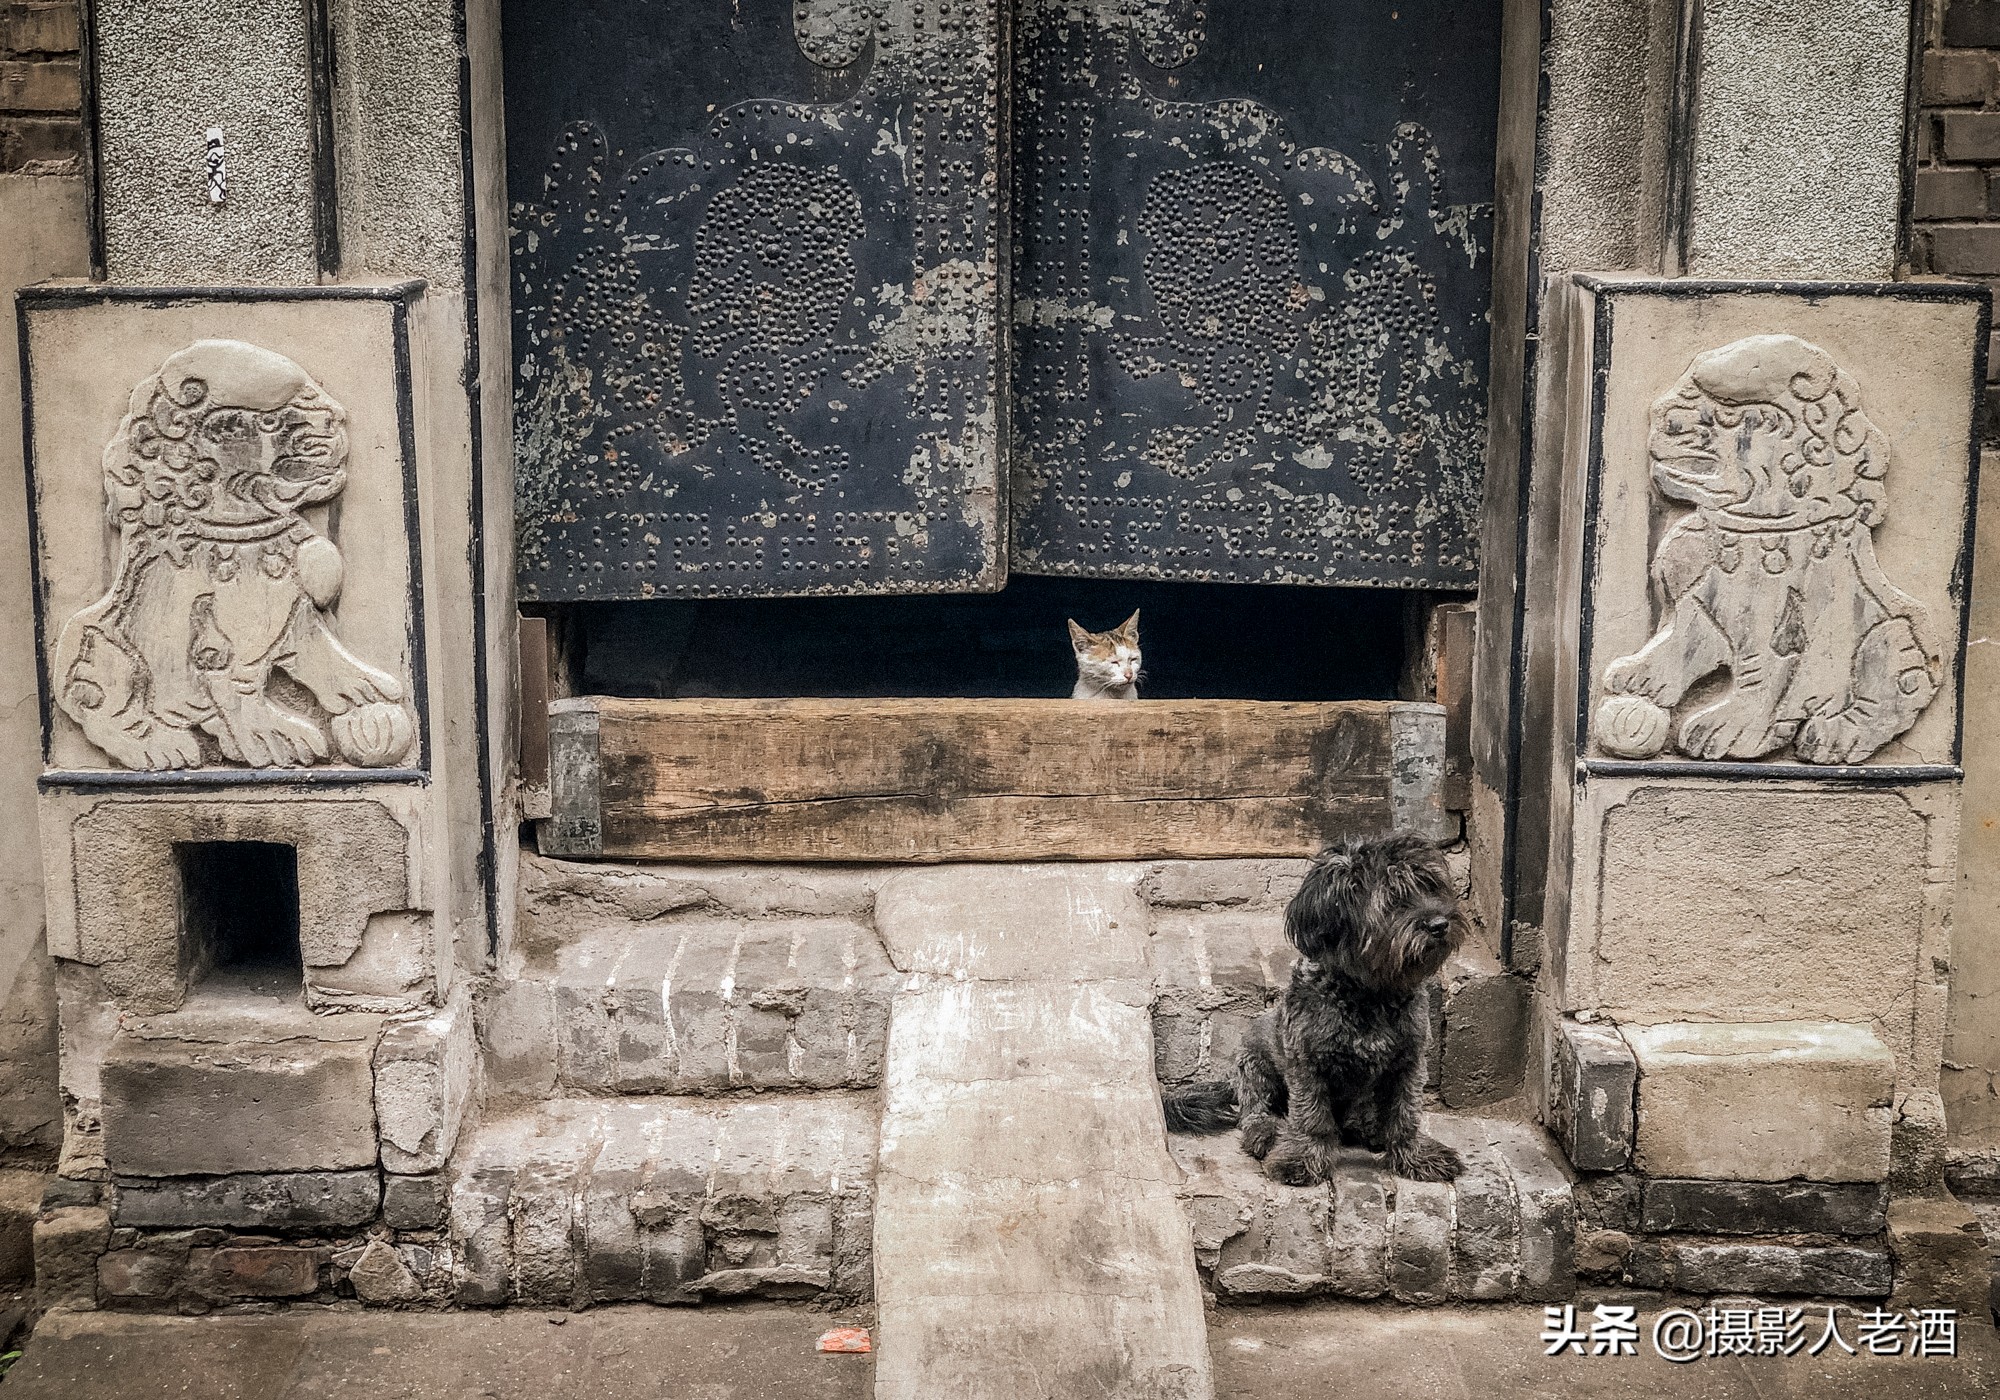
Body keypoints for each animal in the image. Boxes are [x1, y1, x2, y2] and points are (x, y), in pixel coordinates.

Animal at [1160, 836, 1472, 1184]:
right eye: (1393, 898)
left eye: (1430, 885)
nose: (1440, 924)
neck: (1369, 993)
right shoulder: (1307, 1066)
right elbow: (1311, 1117)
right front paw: (1302, 1159)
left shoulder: (1408, 1063)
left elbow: (1406, 1114)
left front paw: (1417, 1157)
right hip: (1254, 1063)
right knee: (1255, 1111)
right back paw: (1267, 1134)